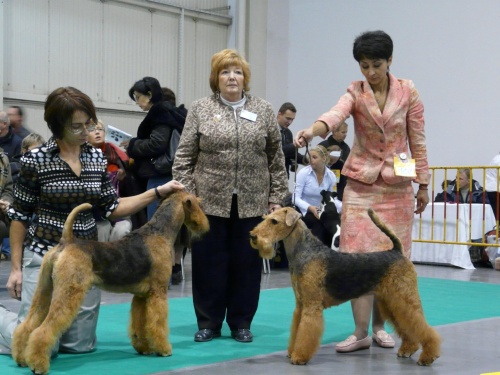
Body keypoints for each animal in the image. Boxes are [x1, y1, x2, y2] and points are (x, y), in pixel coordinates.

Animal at [10, 192, 209, 374]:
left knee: (26, 326)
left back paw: (21, 359)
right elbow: (158, 323)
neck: (159, 233)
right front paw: (164, 349)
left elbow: (140, 324)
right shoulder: (158, 293)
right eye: (199, 203)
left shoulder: (141, 296)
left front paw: (144, 348)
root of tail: (66, 241)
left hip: (44, 290)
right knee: (43, 330)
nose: (206, 226)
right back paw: (39, 365)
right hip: (68, 292)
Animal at [248, 207, 440, 366]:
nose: (253, 236)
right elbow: (297, 329)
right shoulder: (300, 305)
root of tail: (397, 251)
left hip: (402, 297)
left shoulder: (311, 306)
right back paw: (408, 349)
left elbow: (306, 332)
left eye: (274, 221)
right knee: (408, 325)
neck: (305, 252)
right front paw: (292, 351)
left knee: (422, 325)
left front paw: (299, 357)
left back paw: (428, 356)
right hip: (391, 300)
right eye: (266, 218)